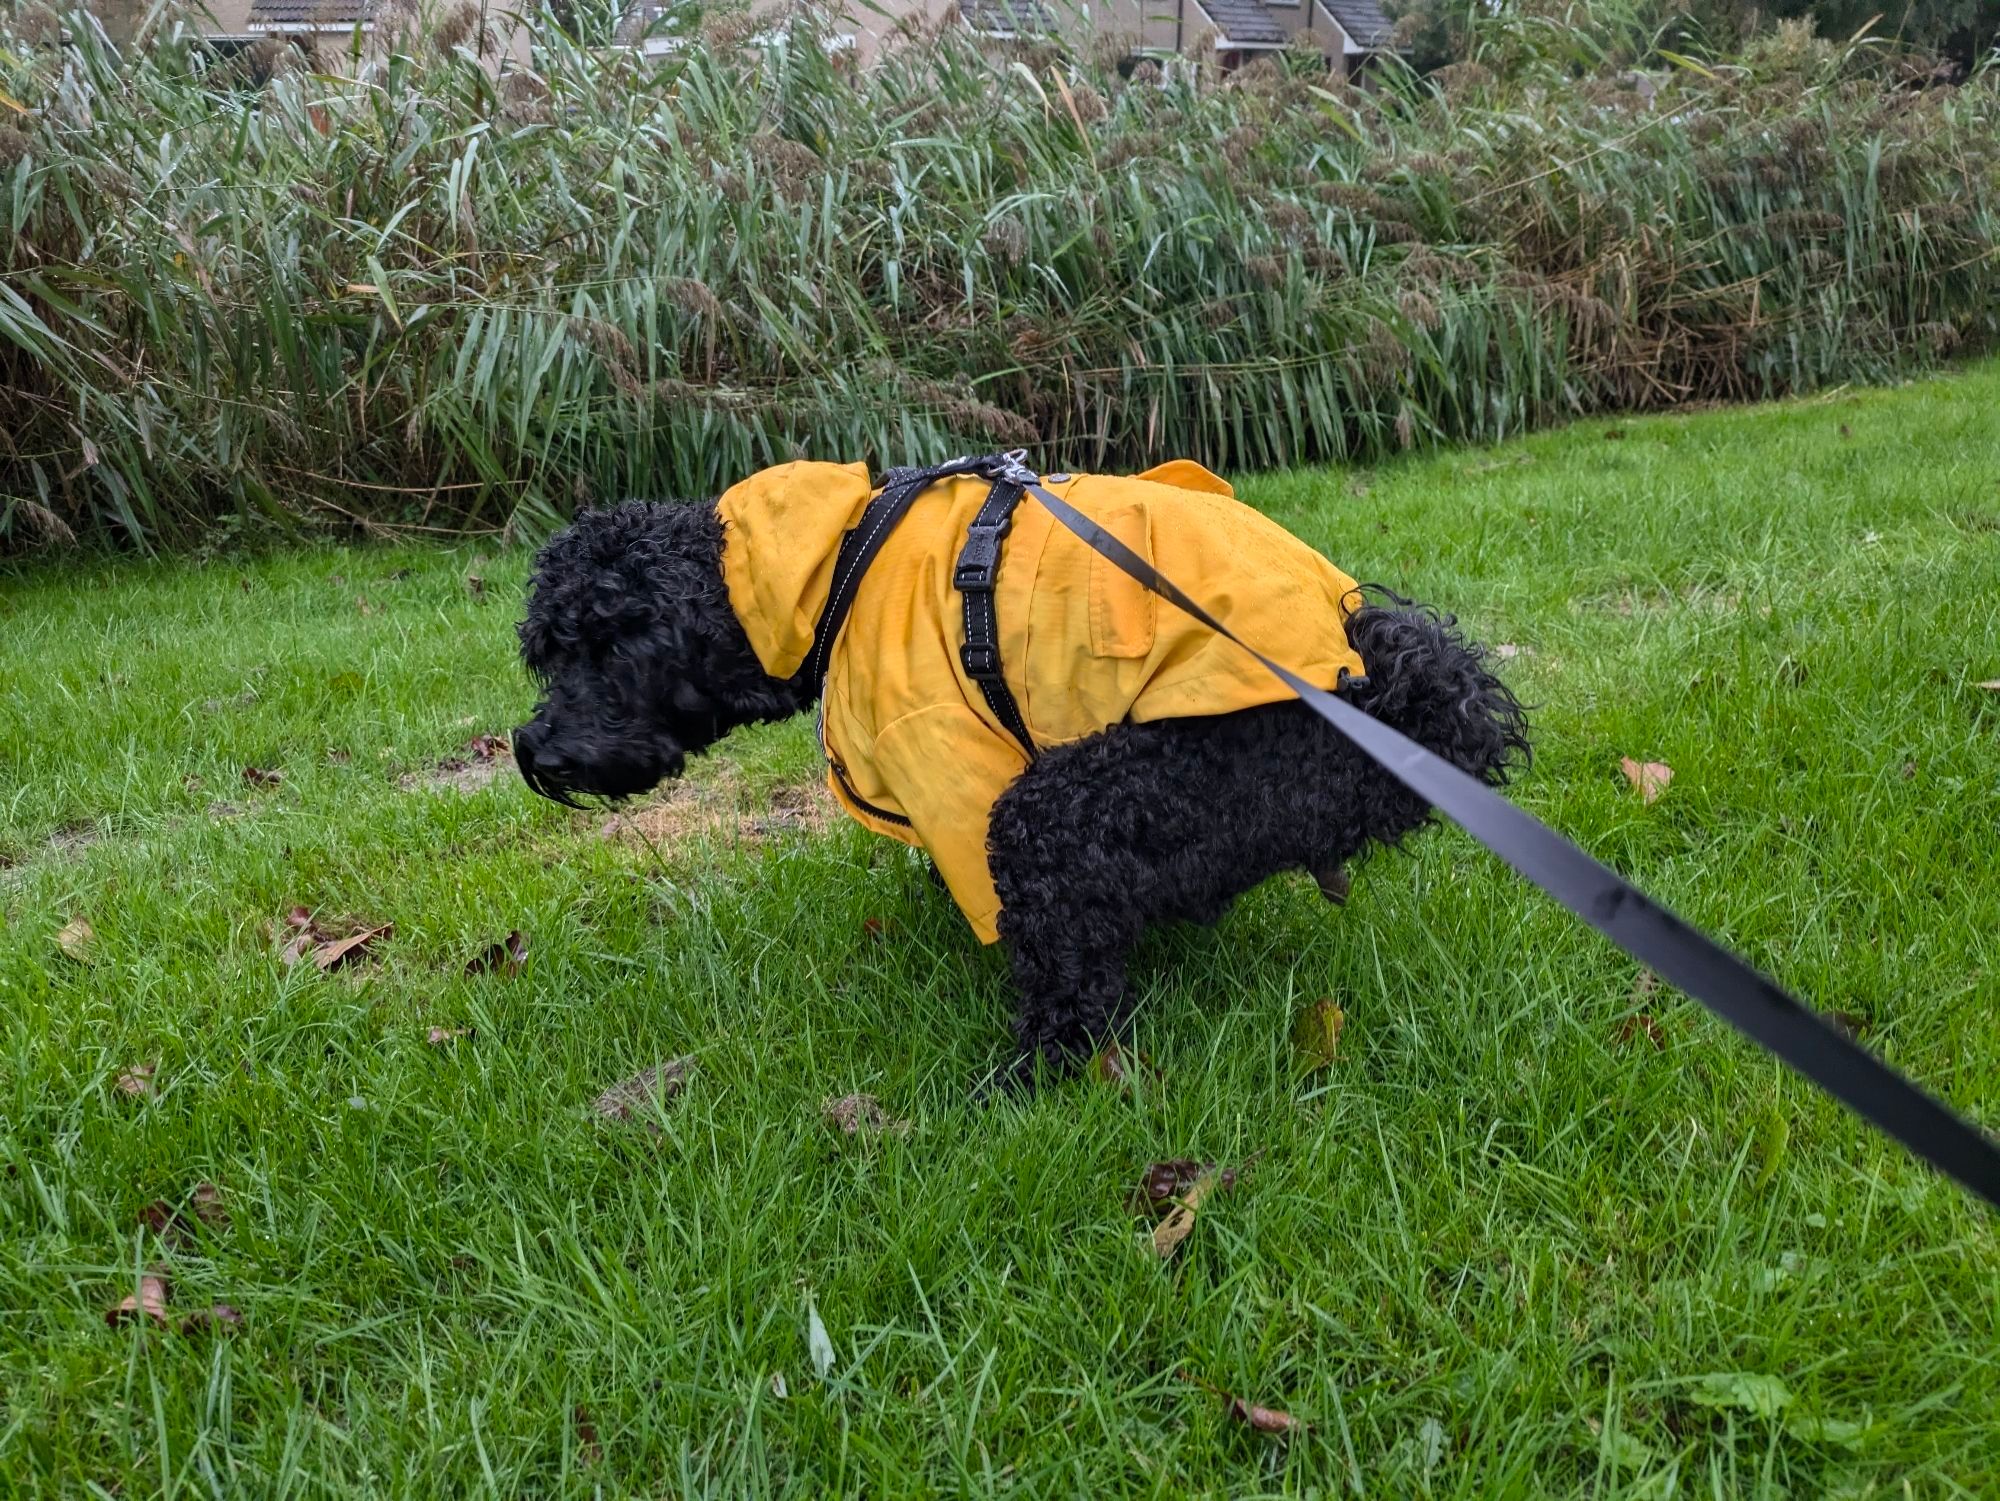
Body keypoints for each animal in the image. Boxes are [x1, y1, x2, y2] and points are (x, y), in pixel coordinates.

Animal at [516, 500, 1528, 1088]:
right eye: (545, 652)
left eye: (611, 642)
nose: (540, 752)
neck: (832, 566)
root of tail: (1402, 689)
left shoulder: (941, 750)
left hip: (1110, 799)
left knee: (1069, 971)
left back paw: (1027, 1080)